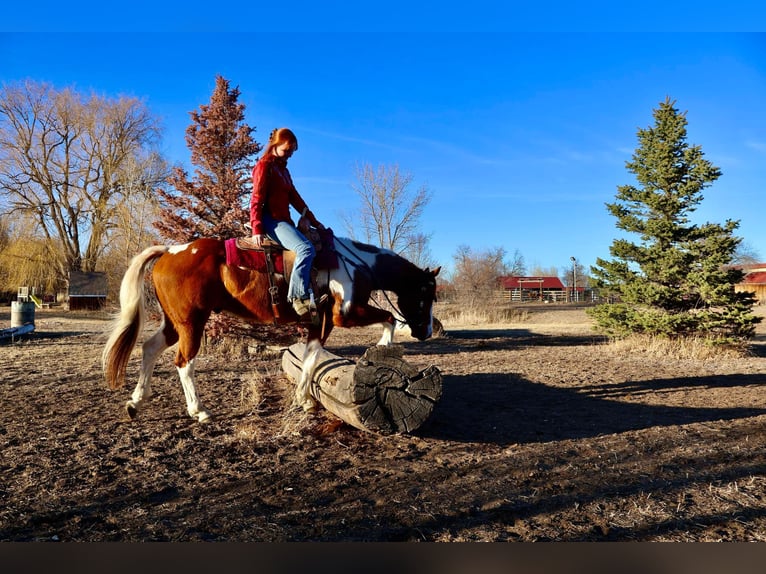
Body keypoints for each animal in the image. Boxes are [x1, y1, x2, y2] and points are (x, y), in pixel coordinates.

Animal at [102, 235, 440, 422]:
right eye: (426, 293)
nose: (425, 332)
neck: (356, 265)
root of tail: (171, 251)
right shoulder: (345, 314)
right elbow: (390, 318)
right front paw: (384, 347)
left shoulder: (320, 323)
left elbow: (310, 359)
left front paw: (304, 400)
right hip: (192, 323)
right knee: (184, 362)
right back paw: (199, 411)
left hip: (174, 323)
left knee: (149, 349)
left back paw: (136, 402)